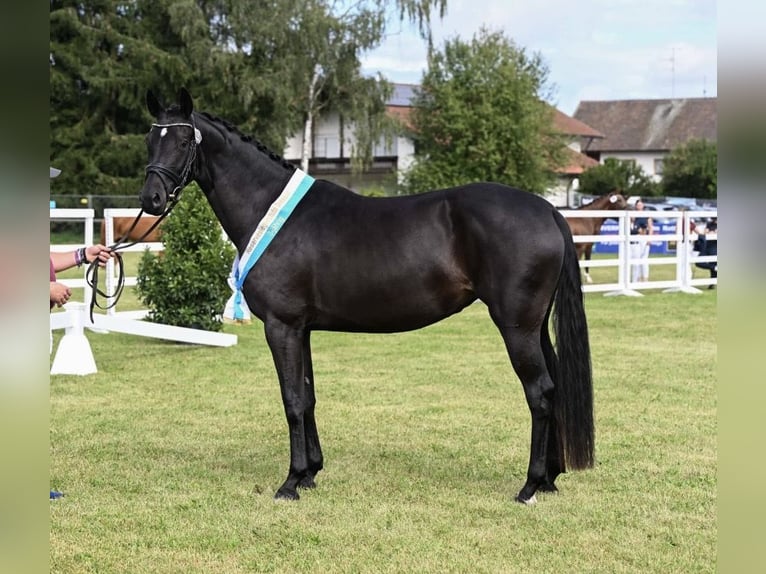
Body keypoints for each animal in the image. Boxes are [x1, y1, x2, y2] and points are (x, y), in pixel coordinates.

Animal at [138, 88, 594, 505]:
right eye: (150, 139)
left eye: (183, 141)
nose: (151, 199)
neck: (270, 210)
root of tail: (548, 211)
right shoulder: (301, 329)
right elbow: (308, 396)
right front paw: (311, 473)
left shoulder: (281, 327)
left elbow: (292, 400)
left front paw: (290, 482)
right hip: (535, 327)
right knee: (553, 388)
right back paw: (550, 479)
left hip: (516, 327)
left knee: (539, 393)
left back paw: (530, 486)